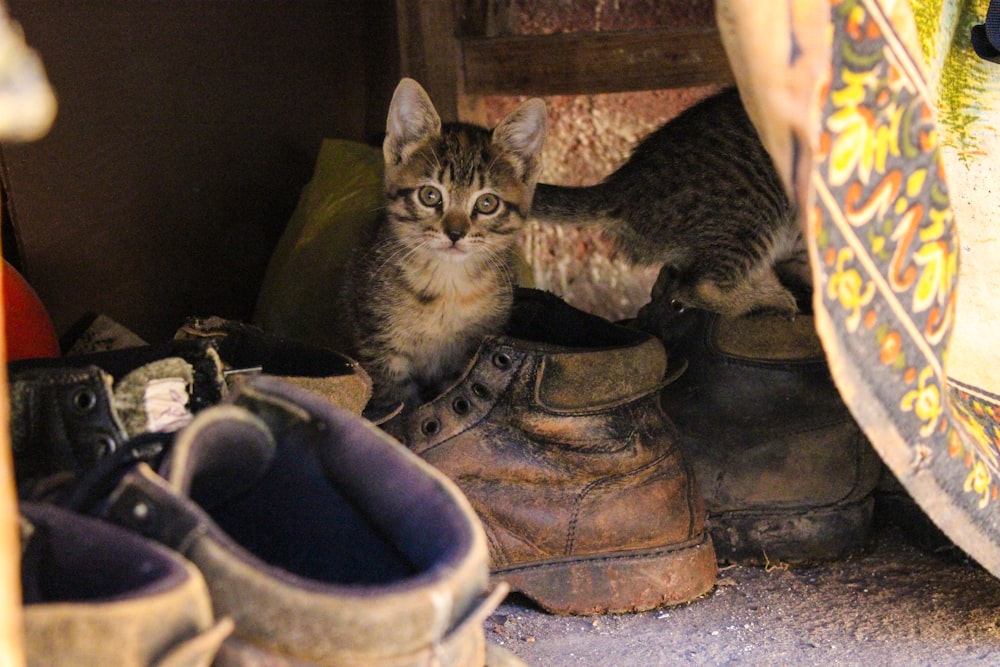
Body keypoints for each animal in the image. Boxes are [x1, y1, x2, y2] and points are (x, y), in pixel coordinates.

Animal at [344, 78, 548, 412]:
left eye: (487, 203)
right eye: (430, 196)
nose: (455, 233)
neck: (447, 285)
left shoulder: (469, 355)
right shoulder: (381, 347)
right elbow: (397, 400)